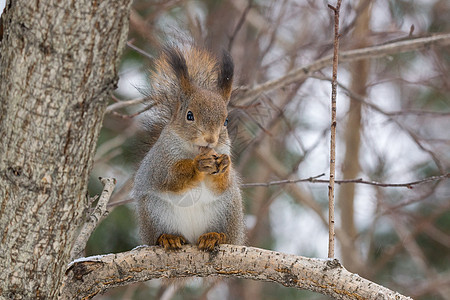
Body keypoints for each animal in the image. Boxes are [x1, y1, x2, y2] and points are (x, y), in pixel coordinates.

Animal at [133, 45, 246, 251]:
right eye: (189, 116)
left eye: (226, 121)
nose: (210, 138)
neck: (196, 150)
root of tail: (192, 238)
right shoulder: (160, 161)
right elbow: (171, 178)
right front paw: (197, 165)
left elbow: (221, 185)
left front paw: (225, 164)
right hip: (153, 212)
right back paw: (168, 238)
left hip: (228, 211)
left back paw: (214, 236)